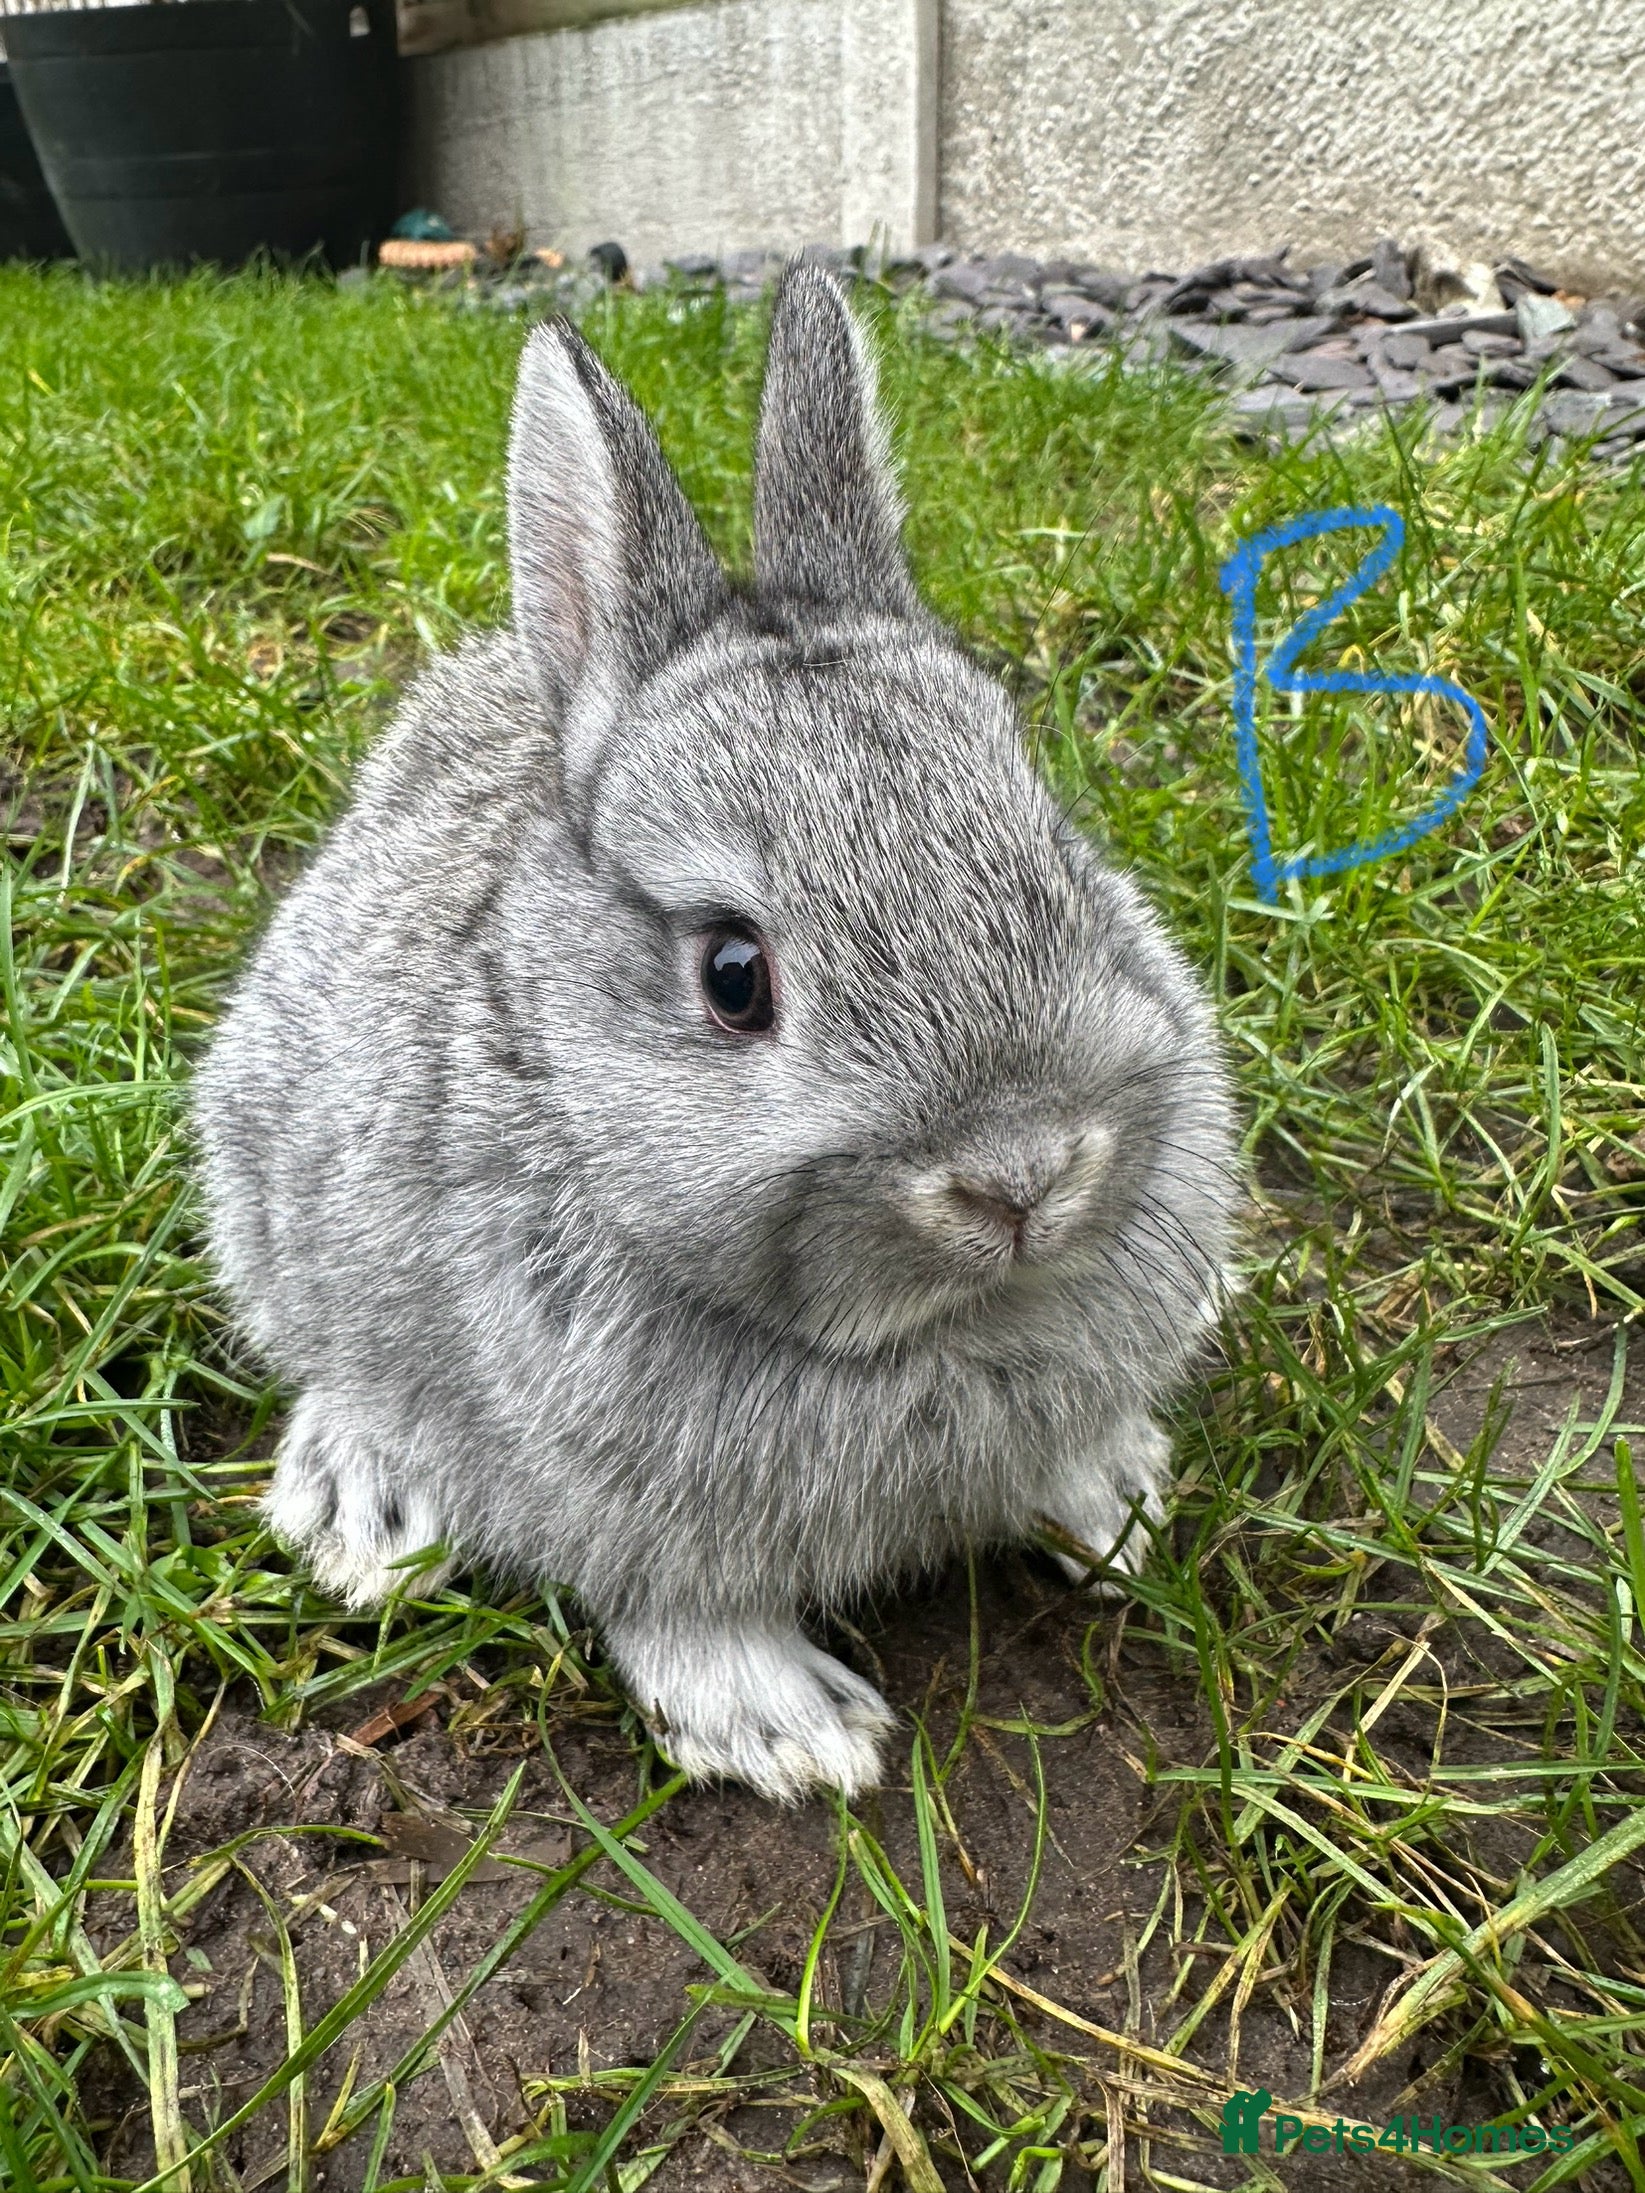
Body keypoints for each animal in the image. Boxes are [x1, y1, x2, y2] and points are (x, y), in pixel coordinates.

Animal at [192, 262, 1239, 1803]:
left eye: (1058, 856)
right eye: (734, 975)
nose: (1023, 1176)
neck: (919, 1330)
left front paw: (1113, 1506)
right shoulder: (615, 1493)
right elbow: (679, 1603)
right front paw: (793, 1736)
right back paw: (360, 1501)